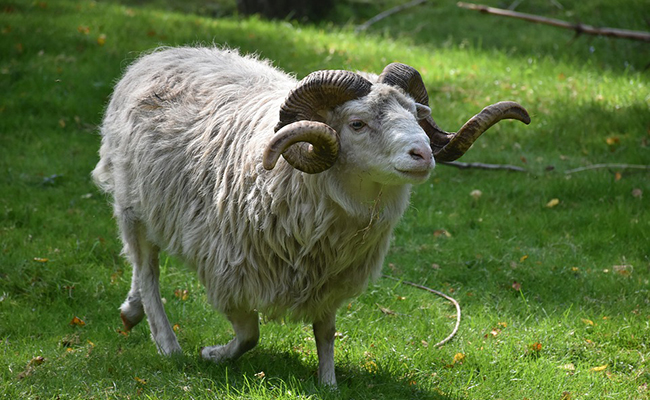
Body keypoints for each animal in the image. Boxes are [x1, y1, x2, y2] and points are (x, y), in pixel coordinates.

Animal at [91, 47, 528, 388]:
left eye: (415, 115)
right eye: (357, 123)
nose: (423, 154)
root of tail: (160, 55)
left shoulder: (330, 280)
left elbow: (326, 332)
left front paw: (329, 382)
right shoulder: (229, 273)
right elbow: (249, 335)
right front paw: (213, 354)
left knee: (139, 269)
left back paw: (131, 312)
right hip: (134, 207)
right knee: (147, 269)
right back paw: (167, 343)